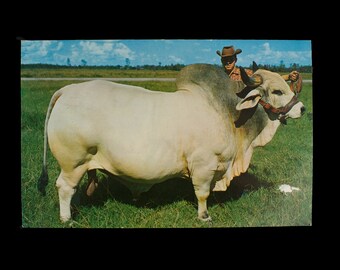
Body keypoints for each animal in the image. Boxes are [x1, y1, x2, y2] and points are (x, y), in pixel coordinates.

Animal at [37, 62, 306, 221]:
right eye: (277, 91)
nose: (302, 108)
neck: (227, 113)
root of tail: (68, 90)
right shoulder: (204, 166)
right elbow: (202, 194)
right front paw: (204, 217)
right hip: (73, 162)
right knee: (64, 187)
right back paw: (67, 219)